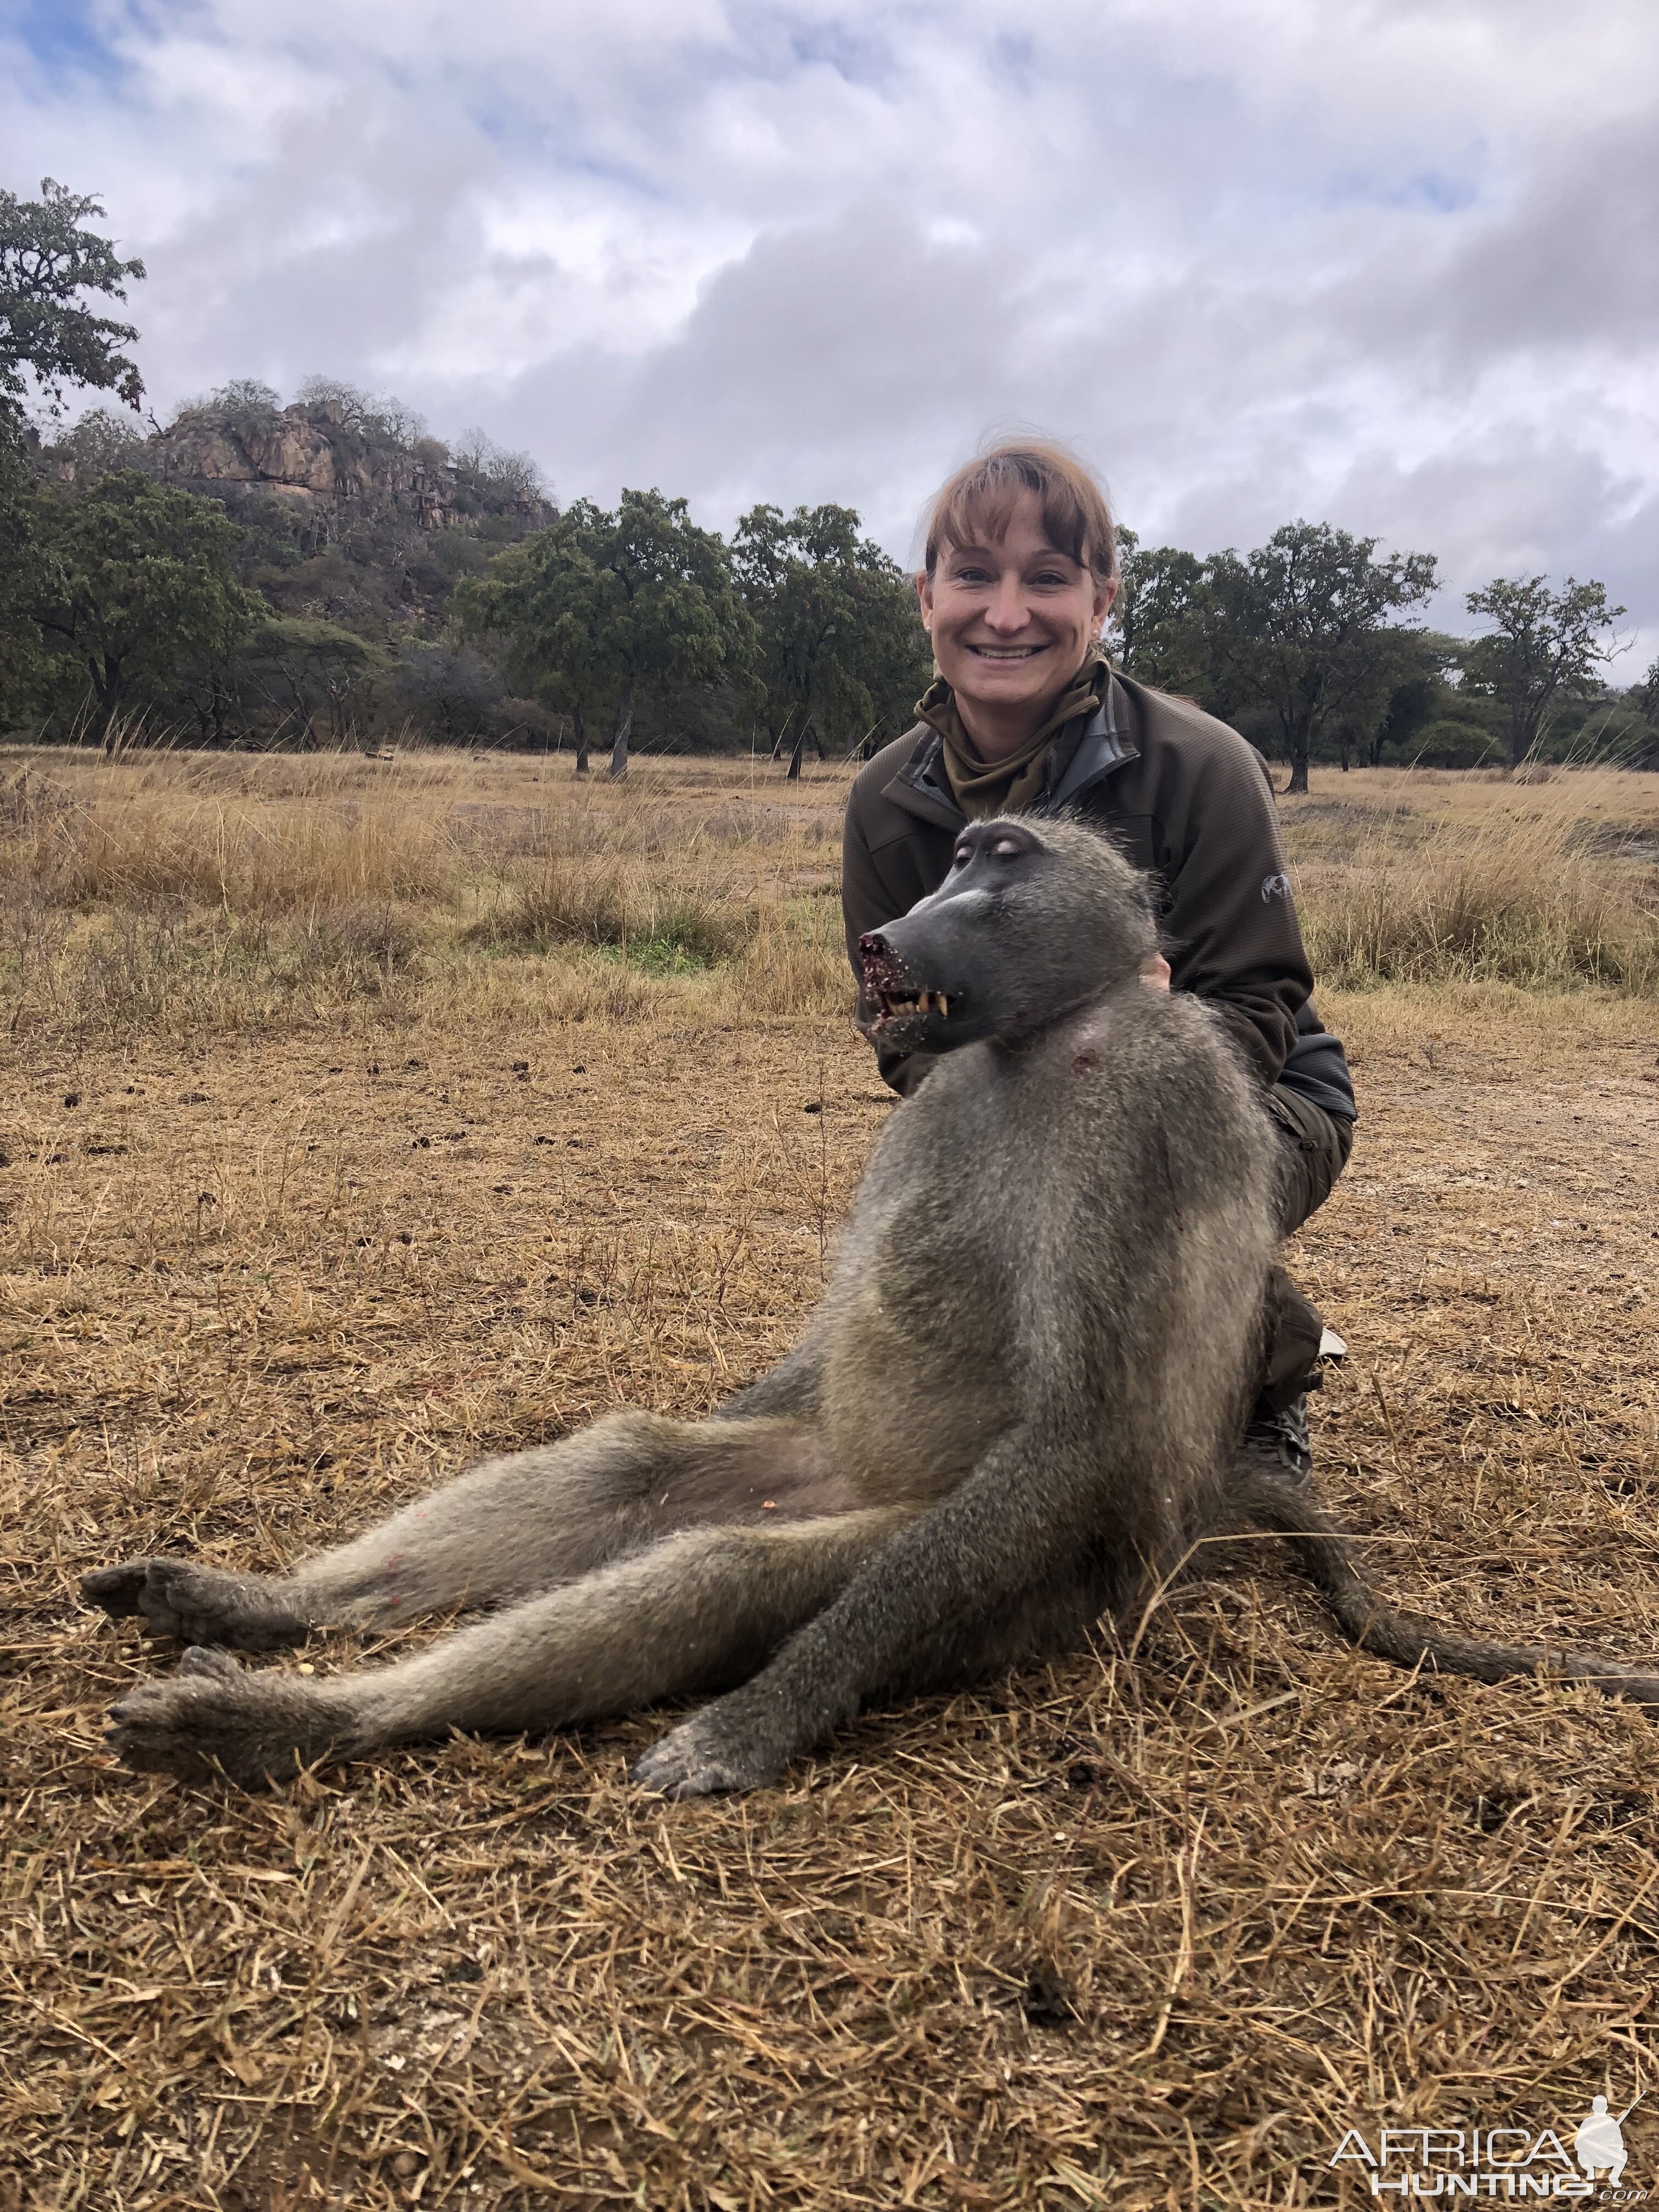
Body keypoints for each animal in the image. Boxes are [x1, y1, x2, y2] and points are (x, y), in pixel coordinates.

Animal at [81, 816, 1659, 1795]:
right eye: (955, 856)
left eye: (1002, 865)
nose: (900, 922)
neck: (1044, 1036)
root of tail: (1187, 1534)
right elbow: (814, 1340)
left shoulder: (1151, 1107)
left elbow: (1077, 1423)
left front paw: (751, 1726)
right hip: (813, 1458)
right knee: (630, 1470)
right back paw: (260, 1610)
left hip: (997, 1573)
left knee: (726, 1569)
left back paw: (287, 1722)